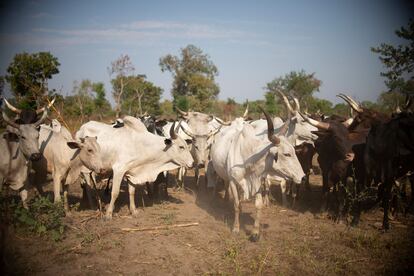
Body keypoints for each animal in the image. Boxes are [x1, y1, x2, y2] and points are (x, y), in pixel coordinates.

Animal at [210, 109, 304, 240]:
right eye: (286, 154)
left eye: (294, 151)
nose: (303, 177)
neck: (248, 158)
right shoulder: (234, 181)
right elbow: (236, 205)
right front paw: (236, 228)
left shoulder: (257, 182)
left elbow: (258, 206)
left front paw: (255, 232)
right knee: (223, 182)